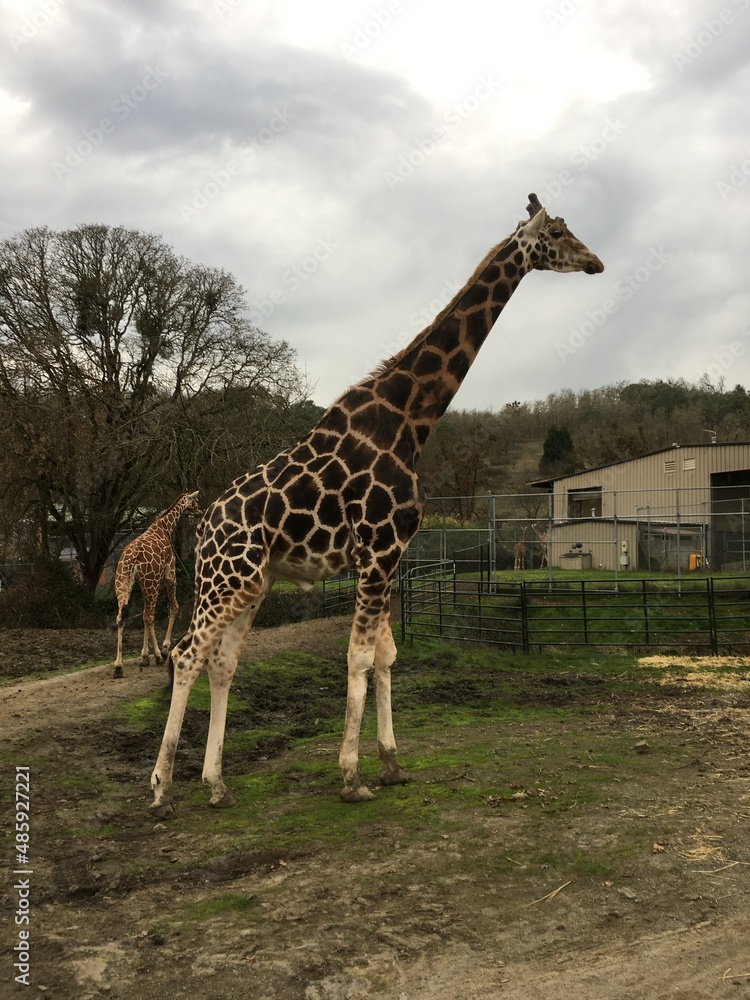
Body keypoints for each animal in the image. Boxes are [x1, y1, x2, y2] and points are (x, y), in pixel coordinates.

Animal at [113, 490, 202, 679]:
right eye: (195, 500)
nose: (200, 510)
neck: (166, 527)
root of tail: (131, 559)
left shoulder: (144, 585)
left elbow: (143, 616)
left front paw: (144, 656)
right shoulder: (169, 577)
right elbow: (173, 607)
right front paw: (163, 648)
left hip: (124, 584)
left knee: (122, 617)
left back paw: (118, 667)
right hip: (151, 584)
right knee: (149, 616)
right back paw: (160, 656)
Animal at [149, 193, 603, 818]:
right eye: (557, 232)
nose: (595, 262)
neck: (410, 421)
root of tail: (204, 525)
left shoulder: (390, 555)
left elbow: (385, 656)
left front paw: (391, 764)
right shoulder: (377, 549)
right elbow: (360, 657)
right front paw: (350, 776)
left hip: (252, 584)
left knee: (222, 662)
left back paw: (217, 784)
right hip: (225, 578)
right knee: (186, 654)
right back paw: (161, 788)